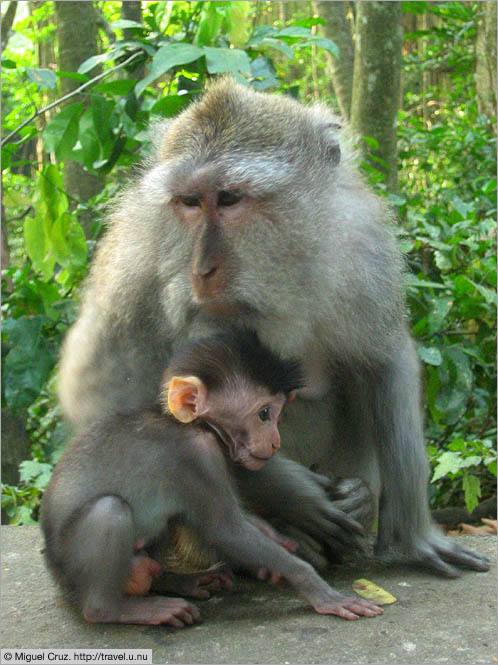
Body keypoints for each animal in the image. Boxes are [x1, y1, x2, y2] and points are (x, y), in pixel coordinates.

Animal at [40, 330, 382, 624]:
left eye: (279, 413)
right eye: (264, 414)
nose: (275, 441)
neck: (195, 426)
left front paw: (281, 534)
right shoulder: (197, 457)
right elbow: (226, 529)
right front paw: (320, 591)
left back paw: (178, 582)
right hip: (70, 565)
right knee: (109, 511)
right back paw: (116, 609)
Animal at [59, 78, 490, 576]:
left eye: (229, 199)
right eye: (189, 202)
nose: (201, 270)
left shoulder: (363, 247)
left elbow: (385, 361)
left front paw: (413, 538)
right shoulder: (133, 275)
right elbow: (110, 402)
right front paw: (296, 496)